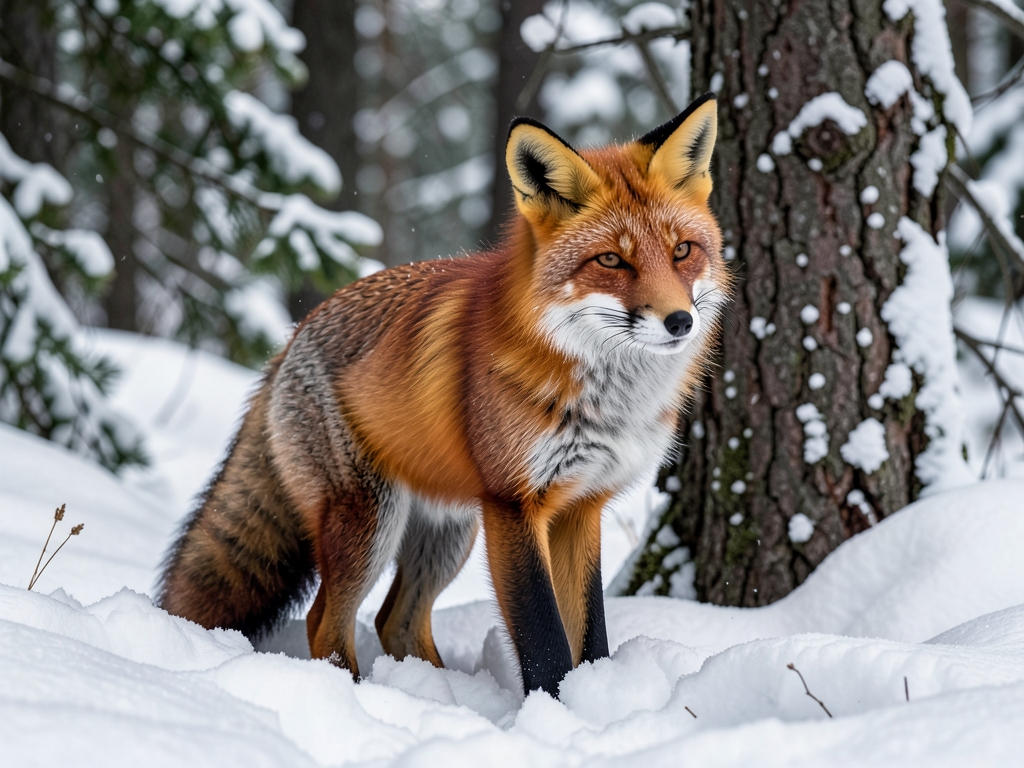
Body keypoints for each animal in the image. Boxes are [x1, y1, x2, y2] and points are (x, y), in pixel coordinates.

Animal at [158, 92, 730, 698]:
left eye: (683, 251)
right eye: (612, 261)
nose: (680, 321)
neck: (609, 403)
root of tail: (291, 338)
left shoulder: (583, 504)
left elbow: (589, 636)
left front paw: (594, 700)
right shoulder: (514, 504)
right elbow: (544, 641)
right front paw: (554, 711)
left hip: (448, 531)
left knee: (396, 619)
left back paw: (441, 696)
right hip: (371, 521)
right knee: (325, 621)